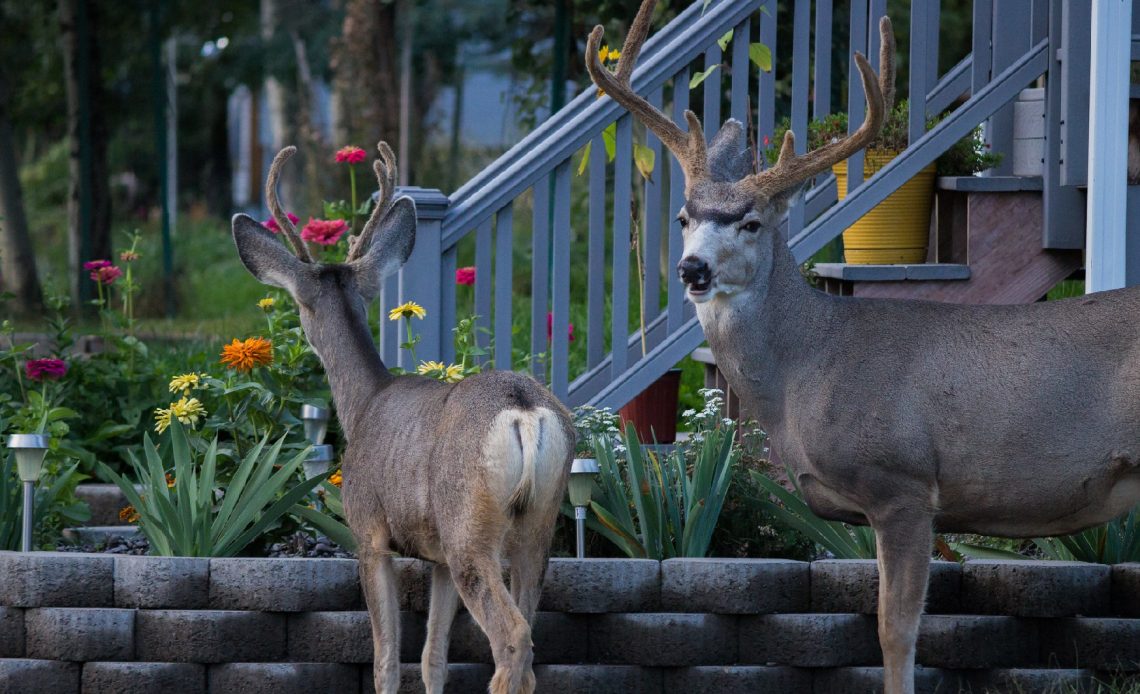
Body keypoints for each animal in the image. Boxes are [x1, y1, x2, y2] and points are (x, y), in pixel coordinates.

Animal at [228, 141, 574, 692]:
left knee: (513, 636)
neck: (364, 404)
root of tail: (523, 409)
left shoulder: (368, 532)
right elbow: (433, 655)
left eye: (300, 307)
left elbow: (386, 658)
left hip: (468, 527)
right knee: (529, 638)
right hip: (537, 525)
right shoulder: (435, 556)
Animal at [592, 2, 1140, 688]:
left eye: (751, 222)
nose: (693, 269)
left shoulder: (902, 484)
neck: (808, 368)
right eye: (683, 218)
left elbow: (894, 631)